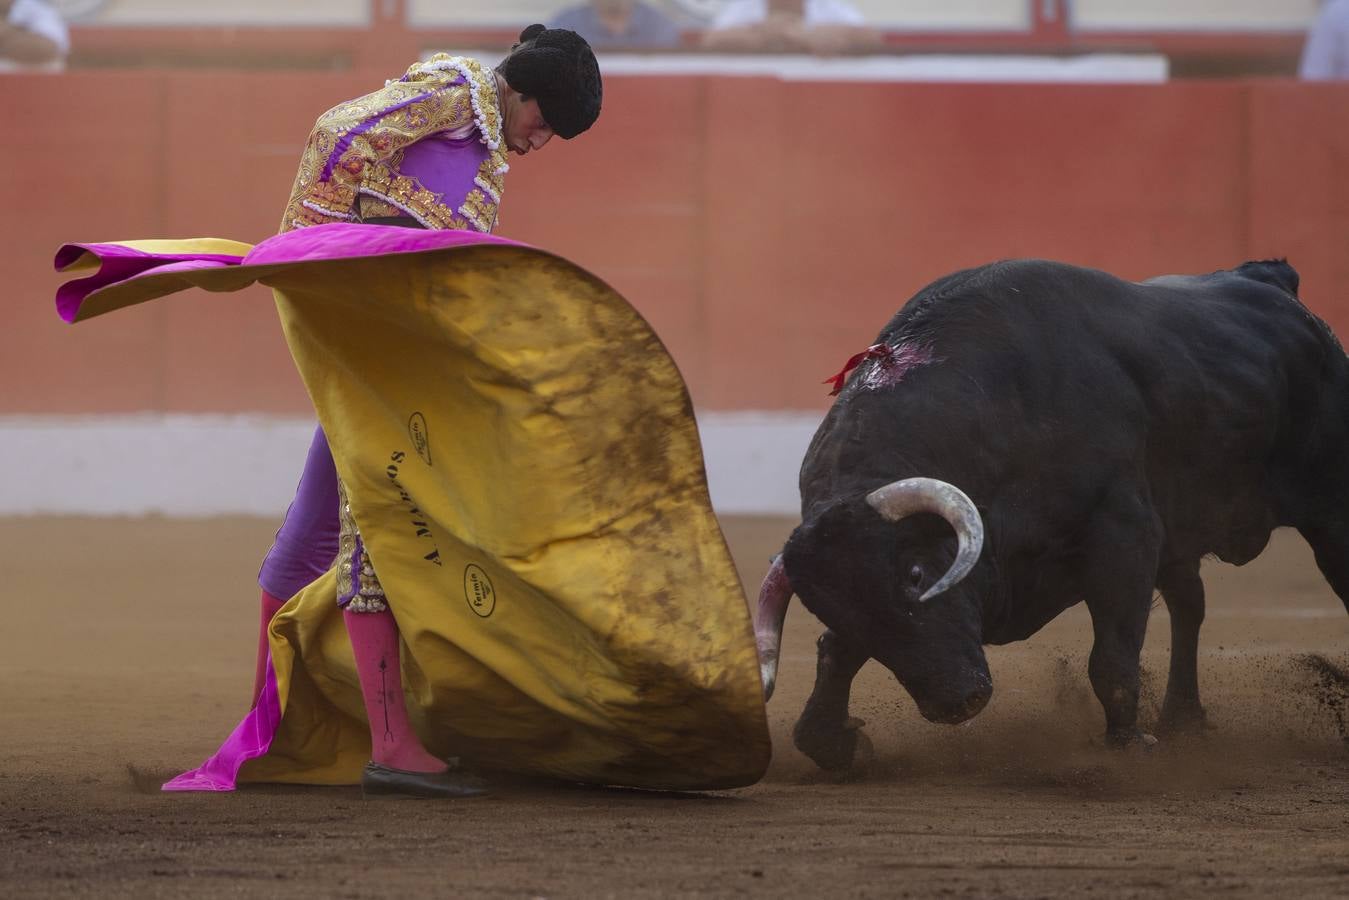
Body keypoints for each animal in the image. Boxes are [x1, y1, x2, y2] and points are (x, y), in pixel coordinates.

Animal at [760, 256, 1349, 771]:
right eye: (839, 611)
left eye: (916, 574)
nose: (956, 702)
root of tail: (1271, 280)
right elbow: (836, 653)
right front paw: (835, 741)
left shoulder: (1124, 534)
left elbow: (1112, 655)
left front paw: (1129, 745)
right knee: (1190, 606)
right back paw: (1183, 719)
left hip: (1329, 511)